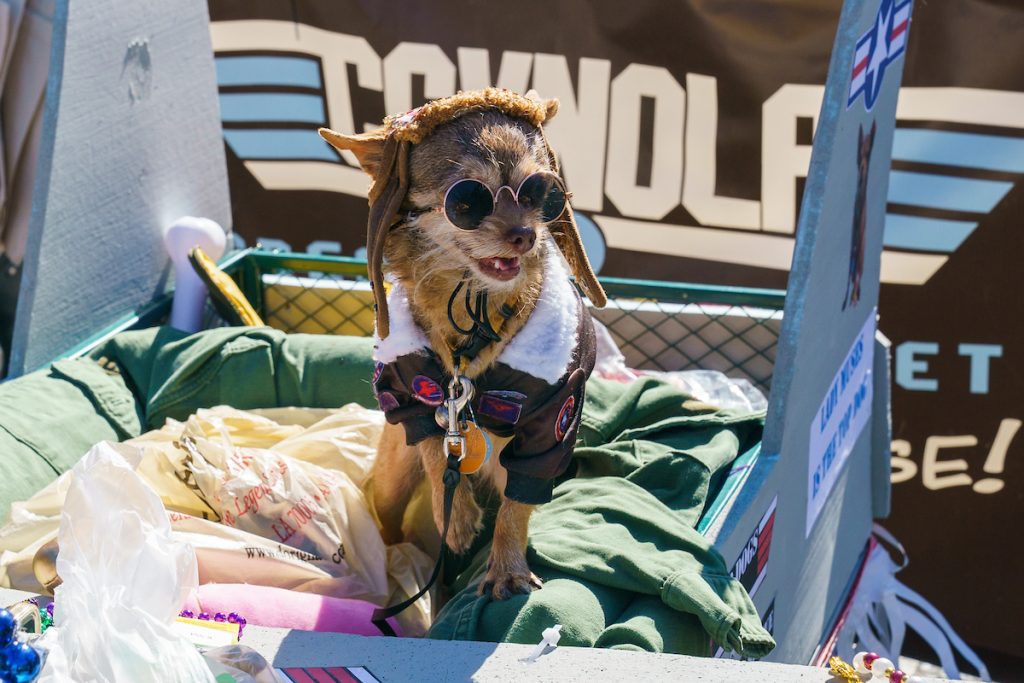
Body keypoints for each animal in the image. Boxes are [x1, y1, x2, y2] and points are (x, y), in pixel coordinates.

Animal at [321, 89, 606, 598]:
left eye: (539, 193)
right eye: (469, 200)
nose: (526, 234)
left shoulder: (550, 431)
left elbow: (514, 509)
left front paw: (507, 568)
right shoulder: (410, 397)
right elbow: (437, 452)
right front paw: (454, 517)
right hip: (394, 474)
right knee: (388, 511)